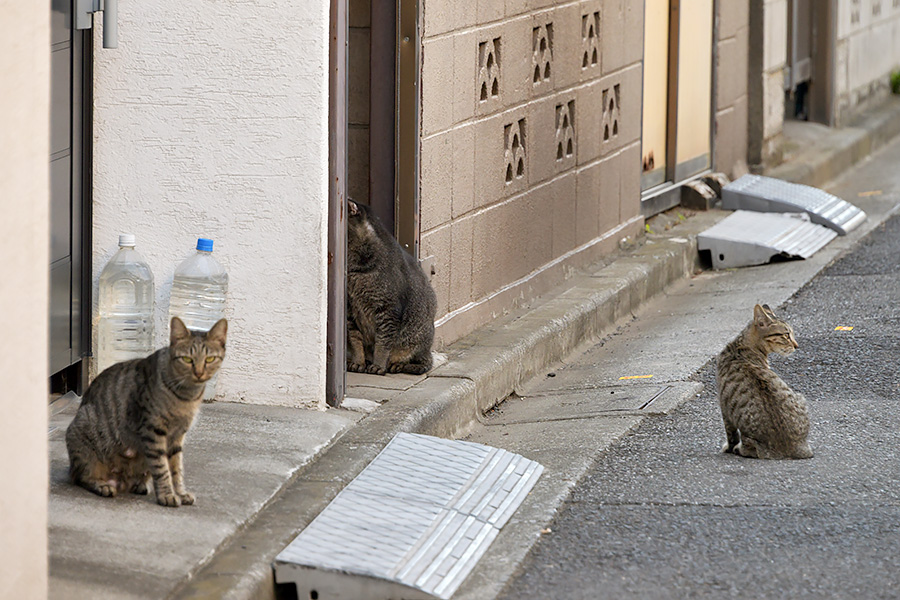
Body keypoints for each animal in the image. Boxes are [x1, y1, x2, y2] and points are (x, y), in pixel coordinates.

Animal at [67, 316, 227, 508]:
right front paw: (167, 495)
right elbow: (162, 469)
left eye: (209, 359)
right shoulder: (153, 431)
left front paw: (180, 493)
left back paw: (140, 485)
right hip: (83, 435)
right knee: (81, 476)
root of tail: (120, 482)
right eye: (187, 359)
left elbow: (176, 470)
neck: (187, 396)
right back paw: (102, 485)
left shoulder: (177, 436)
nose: (199, 373)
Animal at [346, 199, 438, 372]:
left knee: (424, 363)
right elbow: (355, 341)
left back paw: (398, 365)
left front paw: (378, 365)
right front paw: (358, 362)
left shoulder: (388, 309)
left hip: (417, 338)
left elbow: (383, 343)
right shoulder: (350, 310)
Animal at [716, 304, 816, 460]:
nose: (796, 345)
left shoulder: (724, 407)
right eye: (786, 335)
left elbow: (731, 436)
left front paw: (728, 448)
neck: (740, 347)